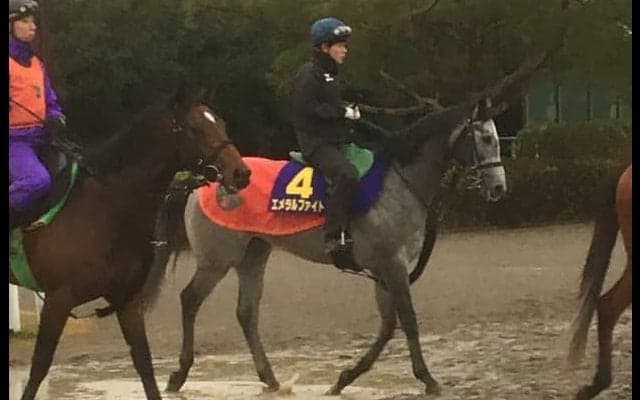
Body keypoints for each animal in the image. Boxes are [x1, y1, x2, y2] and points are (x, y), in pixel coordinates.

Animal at [8, 87, 251, 400]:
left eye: (220, 123)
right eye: (196, 129)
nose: (241, 173)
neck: (105, 209)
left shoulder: (127, 301)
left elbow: (145, 366)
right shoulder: (57, 300)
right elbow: (39, 367)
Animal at [161, 97, 508, 396]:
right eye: (485, 138)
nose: (499, 187)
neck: (397, 182)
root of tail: (208, 180)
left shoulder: (384, 271)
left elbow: (388, 325)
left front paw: (346, 377)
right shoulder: (392, 265)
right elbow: (407, 320)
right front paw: (427, 379)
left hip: (253, 256)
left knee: (246, 312)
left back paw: (270, 378)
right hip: (216, 261)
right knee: (190, 300)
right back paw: (179, 375)